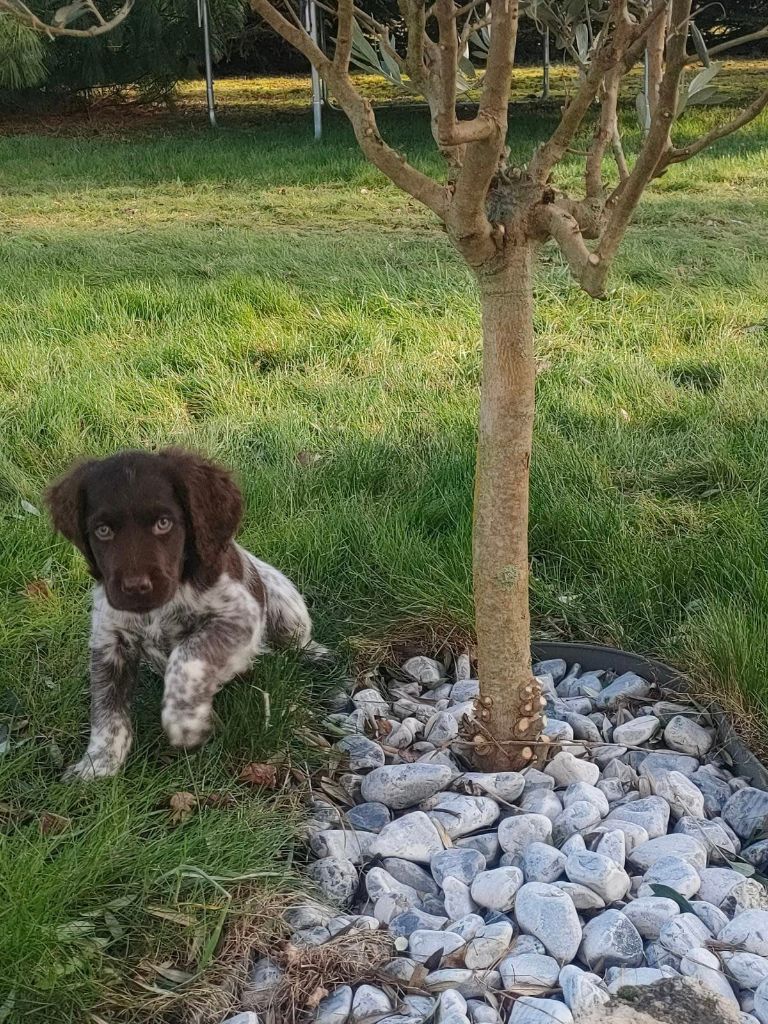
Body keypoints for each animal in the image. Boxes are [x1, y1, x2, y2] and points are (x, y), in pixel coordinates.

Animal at [45, 448, 327, 774]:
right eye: (103, 531)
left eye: (163, 523)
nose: (135, 587)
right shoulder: (108, 641)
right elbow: (106, 709)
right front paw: (98, 763)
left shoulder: (239, 616)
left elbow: (186, 655)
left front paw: (185, 721)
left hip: (282, 602)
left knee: (296, 639)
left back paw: (316, 653)